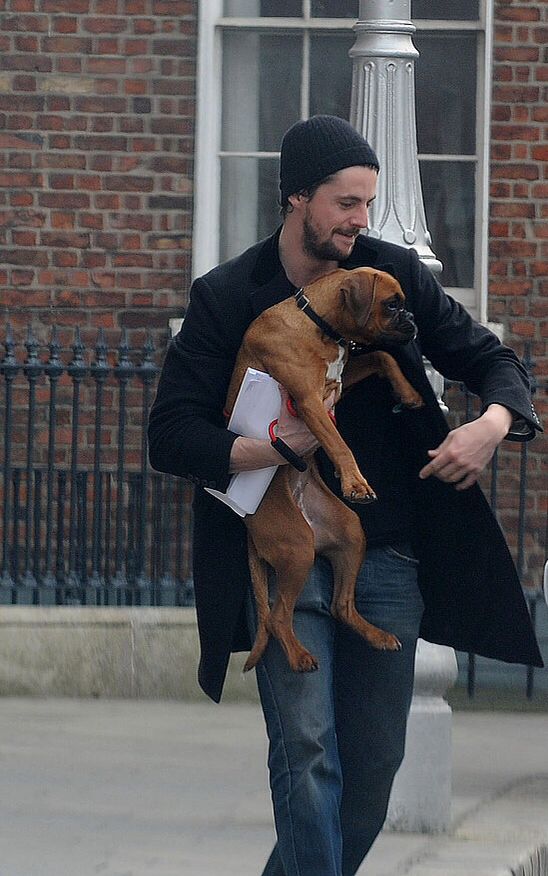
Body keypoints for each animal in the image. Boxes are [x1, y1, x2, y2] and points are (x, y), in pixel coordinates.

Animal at [223, 266, 424, 672]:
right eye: (392, 304)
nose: (412, 320)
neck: (317, 322)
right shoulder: (310, 402)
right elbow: (339, 444)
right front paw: (356, 483)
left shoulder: (340, 382)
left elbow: (382, 357)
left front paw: (408, 393)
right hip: (297, 547)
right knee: (279, 616)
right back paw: (299, 657)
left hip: (350, 533)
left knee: (341, 607)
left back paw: (377, 636)